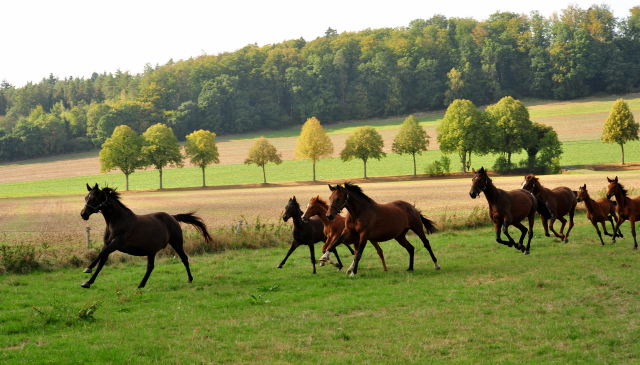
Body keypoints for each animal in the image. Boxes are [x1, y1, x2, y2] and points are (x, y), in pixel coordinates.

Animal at [80, 182, 212, 288]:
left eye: (94, 198)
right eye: (86, 197)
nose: (83, 214)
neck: (117, 221)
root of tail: (172, 217)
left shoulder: (116, 243)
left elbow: (101, 254)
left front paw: (88, 269)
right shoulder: (107, 244)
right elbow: (101, 262)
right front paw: (88, 282)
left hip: (176, 243)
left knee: (184, 258)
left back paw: (190, 279)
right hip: (151, 250)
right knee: (150, 267)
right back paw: (141, 285)